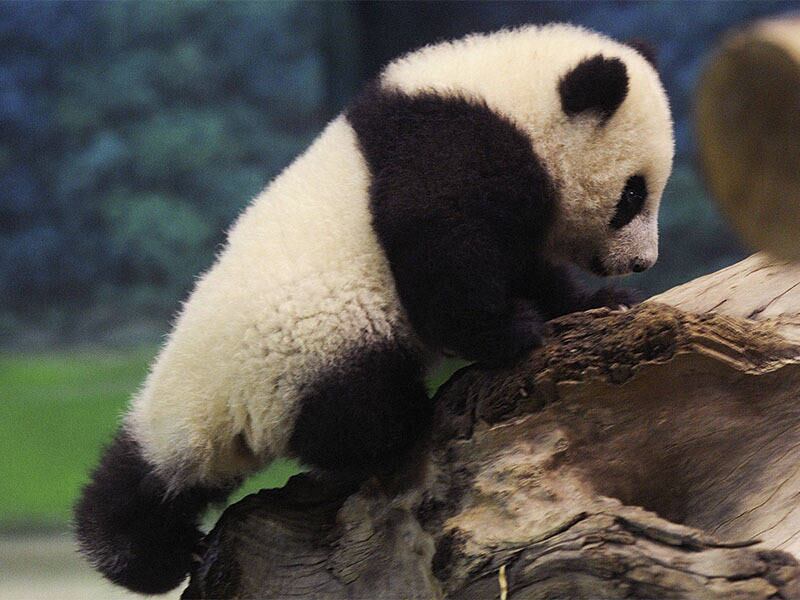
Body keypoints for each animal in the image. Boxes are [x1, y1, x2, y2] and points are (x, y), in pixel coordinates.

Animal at [75, 23, 673, 594]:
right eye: (632, 195)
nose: (642, 261)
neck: (507, 96)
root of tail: (200, 408)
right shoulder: (453, 150)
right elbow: (441, 253)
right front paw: (514, 331)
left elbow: (526, 266)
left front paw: (596, 302)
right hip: (313, 348)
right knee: (361, 409)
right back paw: (403, 424)